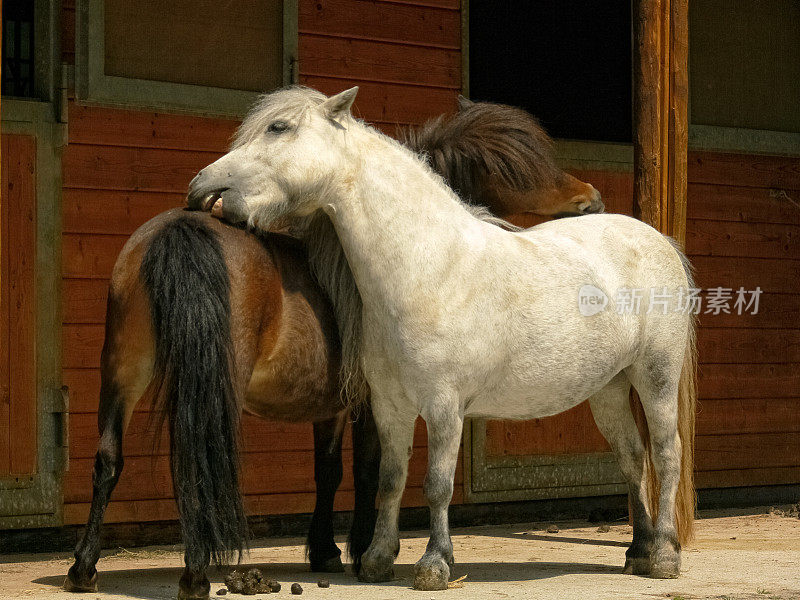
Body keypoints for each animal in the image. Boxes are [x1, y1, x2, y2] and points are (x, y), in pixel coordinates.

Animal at [64, 101, 600, 596]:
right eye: (519, 172)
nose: (592, 198)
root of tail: (181, 229)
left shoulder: (333, 408)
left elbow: (328, 472)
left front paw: (325, 550)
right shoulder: (368, 405)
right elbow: (368, 471)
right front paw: (364, 548)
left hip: (123, 374)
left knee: (108, 460)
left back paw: (84, 567)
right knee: (199, 457)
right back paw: (195, 574)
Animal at [188, 86, 692, 592]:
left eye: (280, 128)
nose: (201, 189)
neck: (428, 267)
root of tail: (659, 241)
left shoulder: (444, 405)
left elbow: (437, 485)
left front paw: (434, 564)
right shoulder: (389, 406)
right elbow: (391, 480)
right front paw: (376, 561)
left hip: (657, 376)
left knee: (667, 454)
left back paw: (665, 557)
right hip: (609, 388)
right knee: (632, 456)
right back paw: (638, 552)